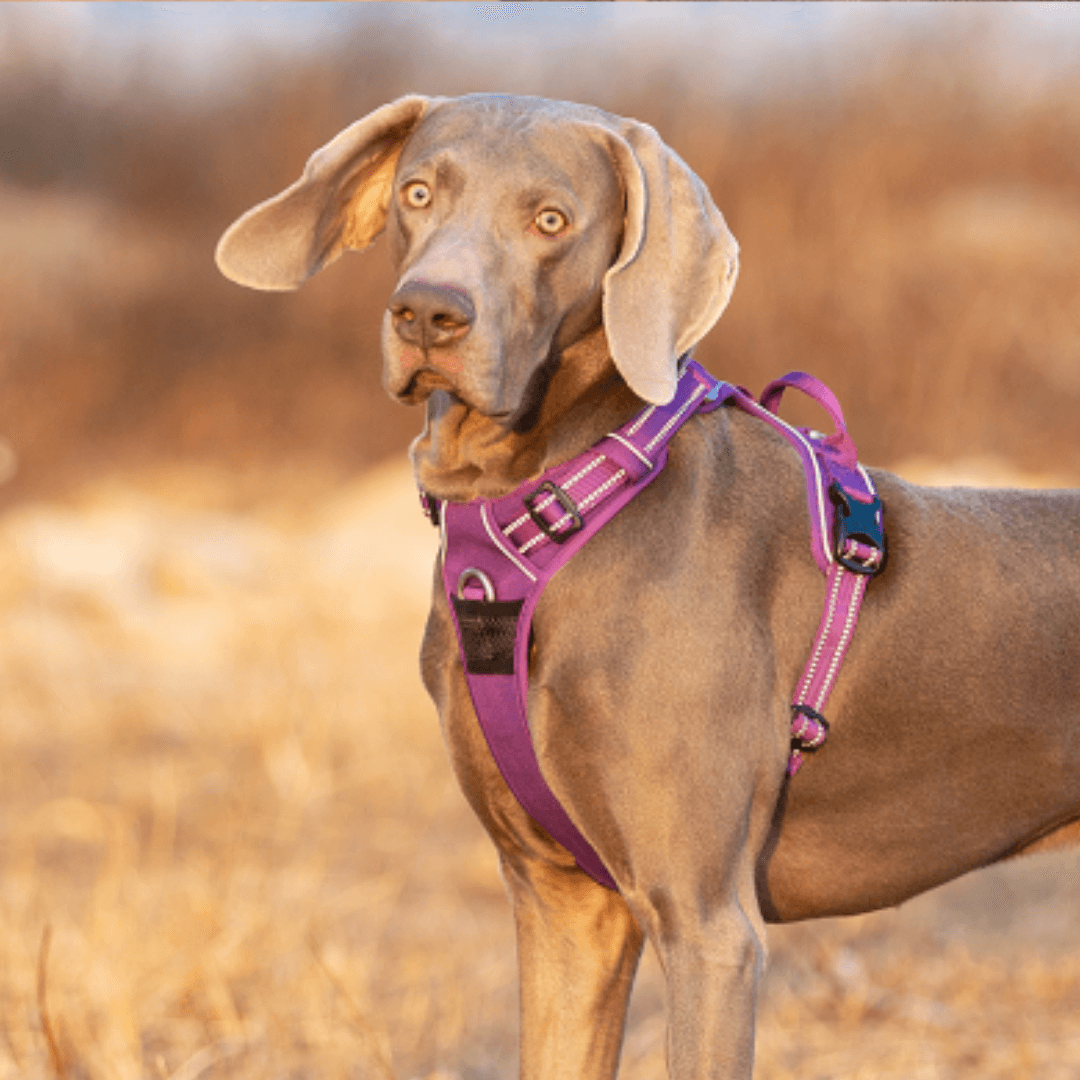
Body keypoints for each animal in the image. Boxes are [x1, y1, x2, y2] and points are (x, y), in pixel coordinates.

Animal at [217, 92, 1080, 1080]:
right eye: (418, 193)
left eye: (551, 220)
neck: (554, 506)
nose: (428, 312)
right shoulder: (564, 903)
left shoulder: (705, 923)